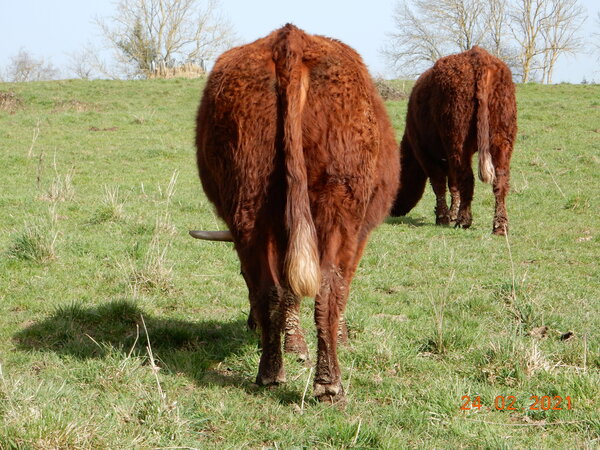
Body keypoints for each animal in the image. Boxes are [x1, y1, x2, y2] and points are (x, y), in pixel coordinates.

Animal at [192, 24, 398, 400]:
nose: (250, 327)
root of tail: (289, 38)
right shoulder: (360, 233)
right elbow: (341, 285)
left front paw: (293, 346)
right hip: (338, 205)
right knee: (329, 289)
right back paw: (329, 383)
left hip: (249, 202)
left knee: (269, 289)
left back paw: (270, 372)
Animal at [390, 46, 516, 236]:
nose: (392, 211)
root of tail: (479, 56)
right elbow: (453, 185)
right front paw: (451, 214)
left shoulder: (425, 152)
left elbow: (439, 184)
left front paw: (443, 218)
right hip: (502, 140)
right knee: (500, 181)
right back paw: (500, 226)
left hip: (458, 142)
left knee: (467, 179)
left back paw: (464, 221)